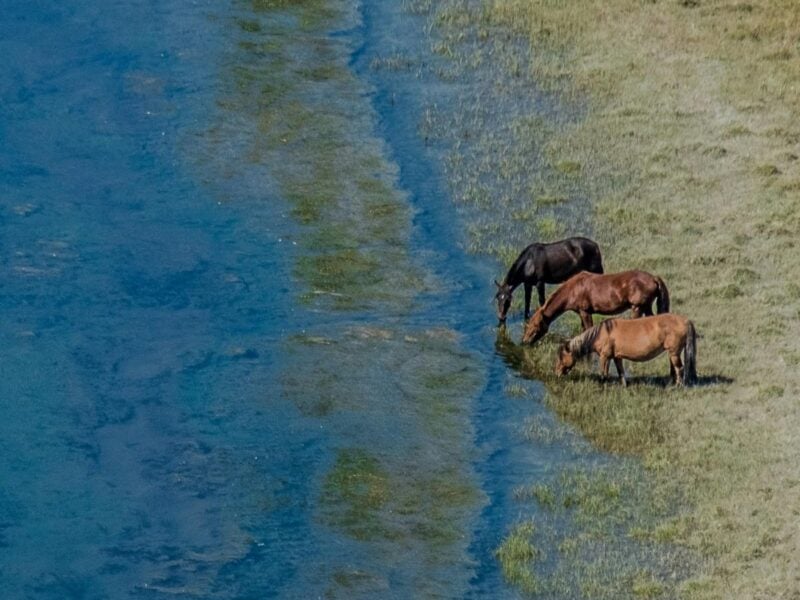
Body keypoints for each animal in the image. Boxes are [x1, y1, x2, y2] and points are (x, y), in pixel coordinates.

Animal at [521, 270, 670, 345]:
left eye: (534, 326)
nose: (524, 341)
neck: (573, 289)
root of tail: (653, 278)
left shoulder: (585, 311)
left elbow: (588, 329)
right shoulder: (581, 312)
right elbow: (583, 329)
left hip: (637, 307)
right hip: (646, 306)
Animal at [554, 314, 697, 386]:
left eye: (561, 357)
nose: (557, 373)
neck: (601, 333)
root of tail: (686, 321)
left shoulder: (605, 357)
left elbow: (604, 373)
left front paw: (603, 386)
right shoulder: (617, 357)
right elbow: (621, 373)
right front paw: (624, 386)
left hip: (674, 353)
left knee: (679, 369)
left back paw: (678, 386)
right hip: (674, 353)